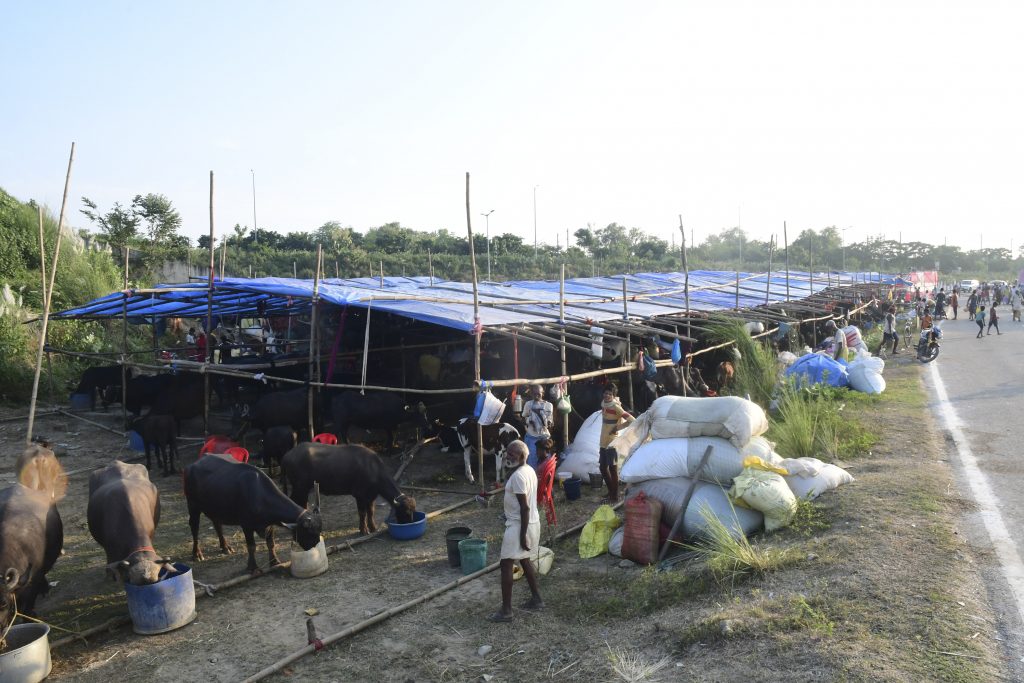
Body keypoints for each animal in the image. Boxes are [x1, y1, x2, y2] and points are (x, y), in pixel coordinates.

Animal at [184, 454, 319, 577]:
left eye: (318, 531)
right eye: (308, 533)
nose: (315, 545)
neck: (259, 495)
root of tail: (193, 465)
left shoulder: (271, 524)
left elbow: (271, 543)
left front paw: (275, 561)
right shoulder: (247, 525)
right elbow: (251, 547)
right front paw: (253, 567)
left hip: (215, 509)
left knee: (217, 524)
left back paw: (225, 547)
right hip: (192, 505)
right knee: (194, 526)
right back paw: (197, 554)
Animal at [280, 440, 415, 536]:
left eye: (413, 511)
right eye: (406, 512)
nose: (410, 523)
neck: (373, 469)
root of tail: (287, 456)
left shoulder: (371, 495)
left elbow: (371, 511)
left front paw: (373, 528)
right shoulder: (360, 495)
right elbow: (362, 513)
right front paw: (363, 530)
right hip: (300, 487)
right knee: (296, 501)